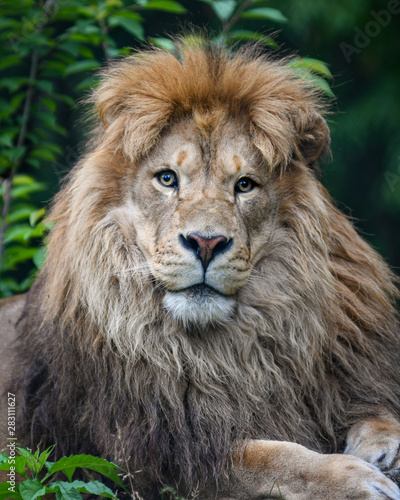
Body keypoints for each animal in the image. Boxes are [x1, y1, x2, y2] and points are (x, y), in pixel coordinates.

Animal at [0, 40, 400, 500]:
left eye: (244, 185)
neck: (227, 350)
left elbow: (378, 411)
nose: (206, 243)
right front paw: (355, 479)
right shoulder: (154, 457)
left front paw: (385, 449)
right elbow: (268, 458)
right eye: (167, 179)